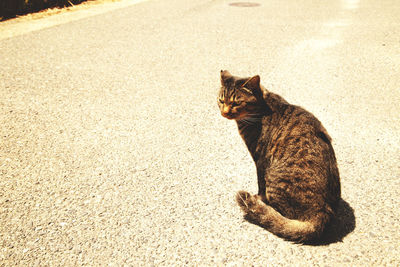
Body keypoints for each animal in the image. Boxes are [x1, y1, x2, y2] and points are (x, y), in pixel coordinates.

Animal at [217, 70, 342, 244]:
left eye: (236, 103)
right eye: (221, 100)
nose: (224, 112)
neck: (262, 106)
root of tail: (322, 215)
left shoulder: (260, 159)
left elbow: (260, 185)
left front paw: (258, 198)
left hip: (273, 177)